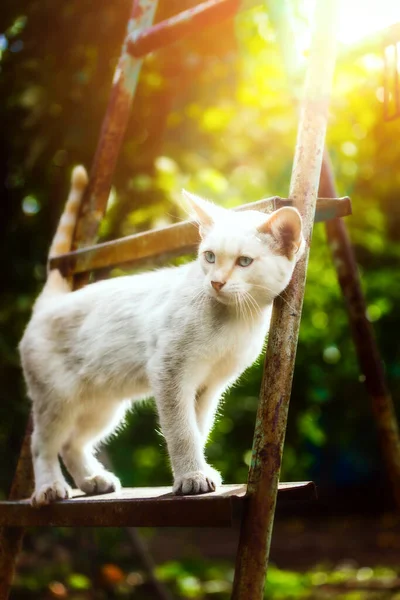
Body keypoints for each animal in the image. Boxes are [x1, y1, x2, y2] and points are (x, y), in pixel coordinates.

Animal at [18, 165, 304, 506]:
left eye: (244, 261)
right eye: (209, 256)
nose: (216, 283)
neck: (234, 320)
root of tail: (50, 302)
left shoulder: (208, 388)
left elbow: (198, 429)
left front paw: (198, 470)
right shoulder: (170, 373)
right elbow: (181, 431)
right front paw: (192, 477)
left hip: (102, 407)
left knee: (71, 444)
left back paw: (93, 480)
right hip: (57, 400)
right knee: (42, 444)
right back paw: (49, 488)